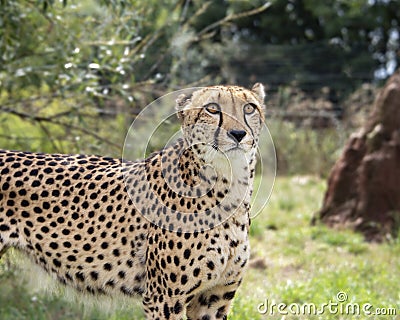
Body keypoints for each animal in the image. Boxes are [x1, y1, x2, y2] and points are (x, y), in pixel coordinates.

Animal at [1, 84, 268, 318]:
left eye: (249, 108)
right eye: (212, 109)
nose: (238, 134)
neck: (229, 186)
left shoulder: (213, 300)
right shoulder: (163, 299)